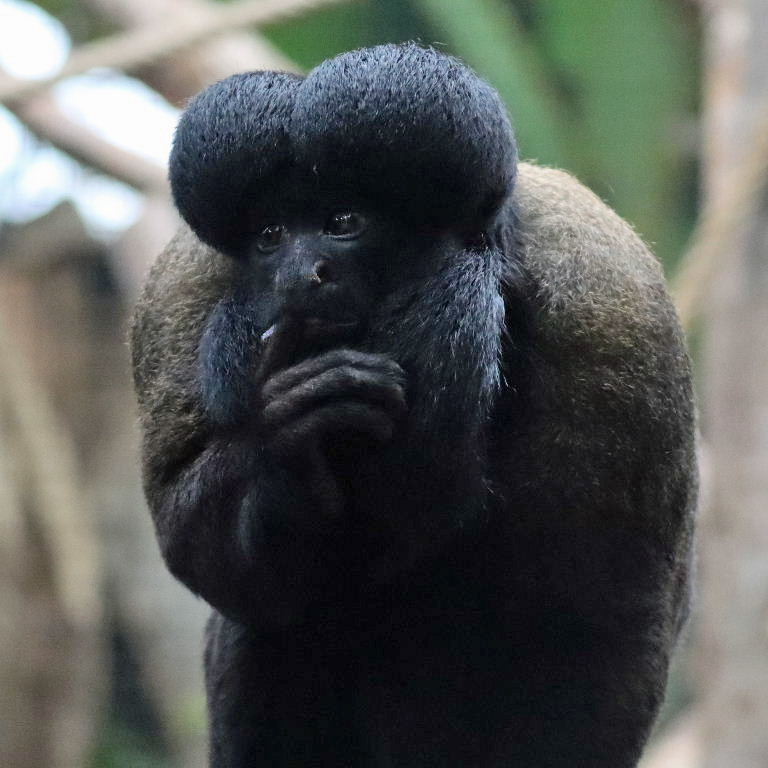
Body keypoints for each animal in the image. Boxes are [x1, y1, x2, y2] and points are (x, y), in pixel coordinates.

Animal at [131, 43, 697, 768]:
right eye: (270, 235)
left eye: (344, 223)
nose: (299, 275)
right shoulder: (179, 297)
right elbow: (206, 554)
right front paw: (287, 434)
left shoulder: (609, 315)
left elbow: (601, 622)